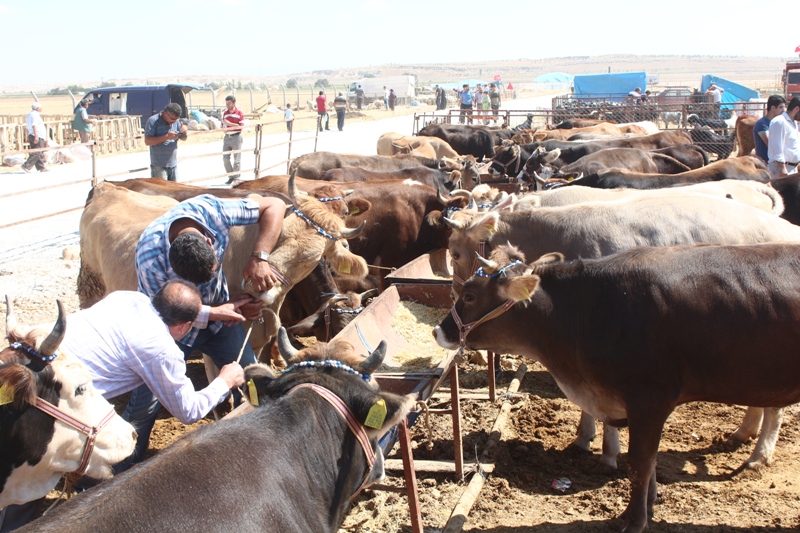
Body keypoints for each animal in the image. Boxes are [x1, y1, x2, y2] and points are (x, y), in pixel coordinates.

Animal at [438, 242, 800, 532]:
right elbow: (649, 462)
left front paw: (634, 519)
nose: (439, 332)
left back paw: (756, 456)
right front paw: (649, 506)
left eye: (469, 295)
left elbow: (640, 461)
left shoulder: (649, 401)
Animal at [446, 193, 800, 468]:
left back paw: (759, 455)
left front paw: (607, 451)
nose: (453, 299)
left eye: (455, 253)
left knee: (775, 407)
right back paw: (744, 432)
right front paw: (584, 437)